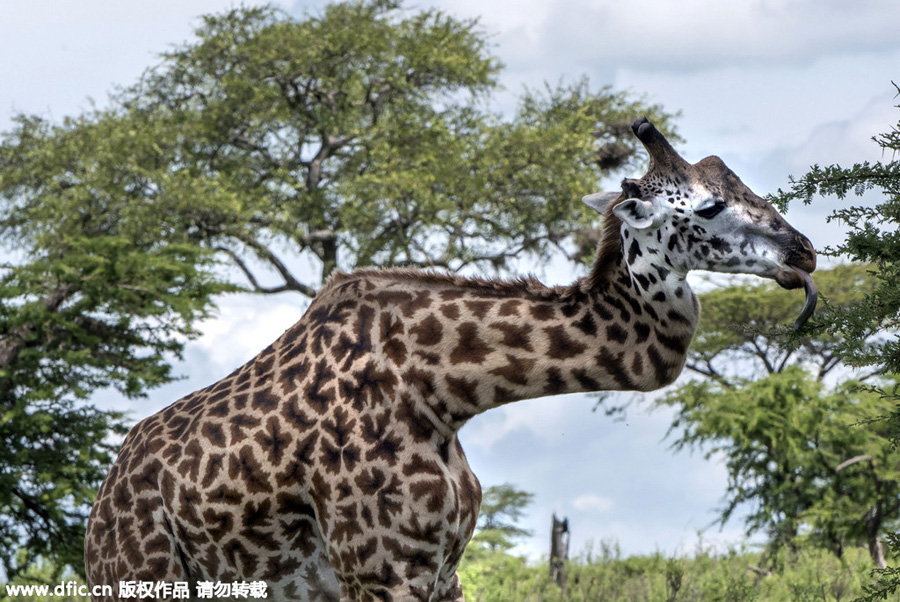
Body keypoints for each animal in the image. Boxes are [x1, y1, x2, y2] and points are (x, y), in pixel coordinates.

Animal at [82, 116, 816, 596]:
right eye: (711, 205)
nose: (803, 252)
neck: (444, 391)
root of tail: (98, 513)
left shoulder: (443, 569)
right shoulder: (380, 570)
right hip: (142, 579)